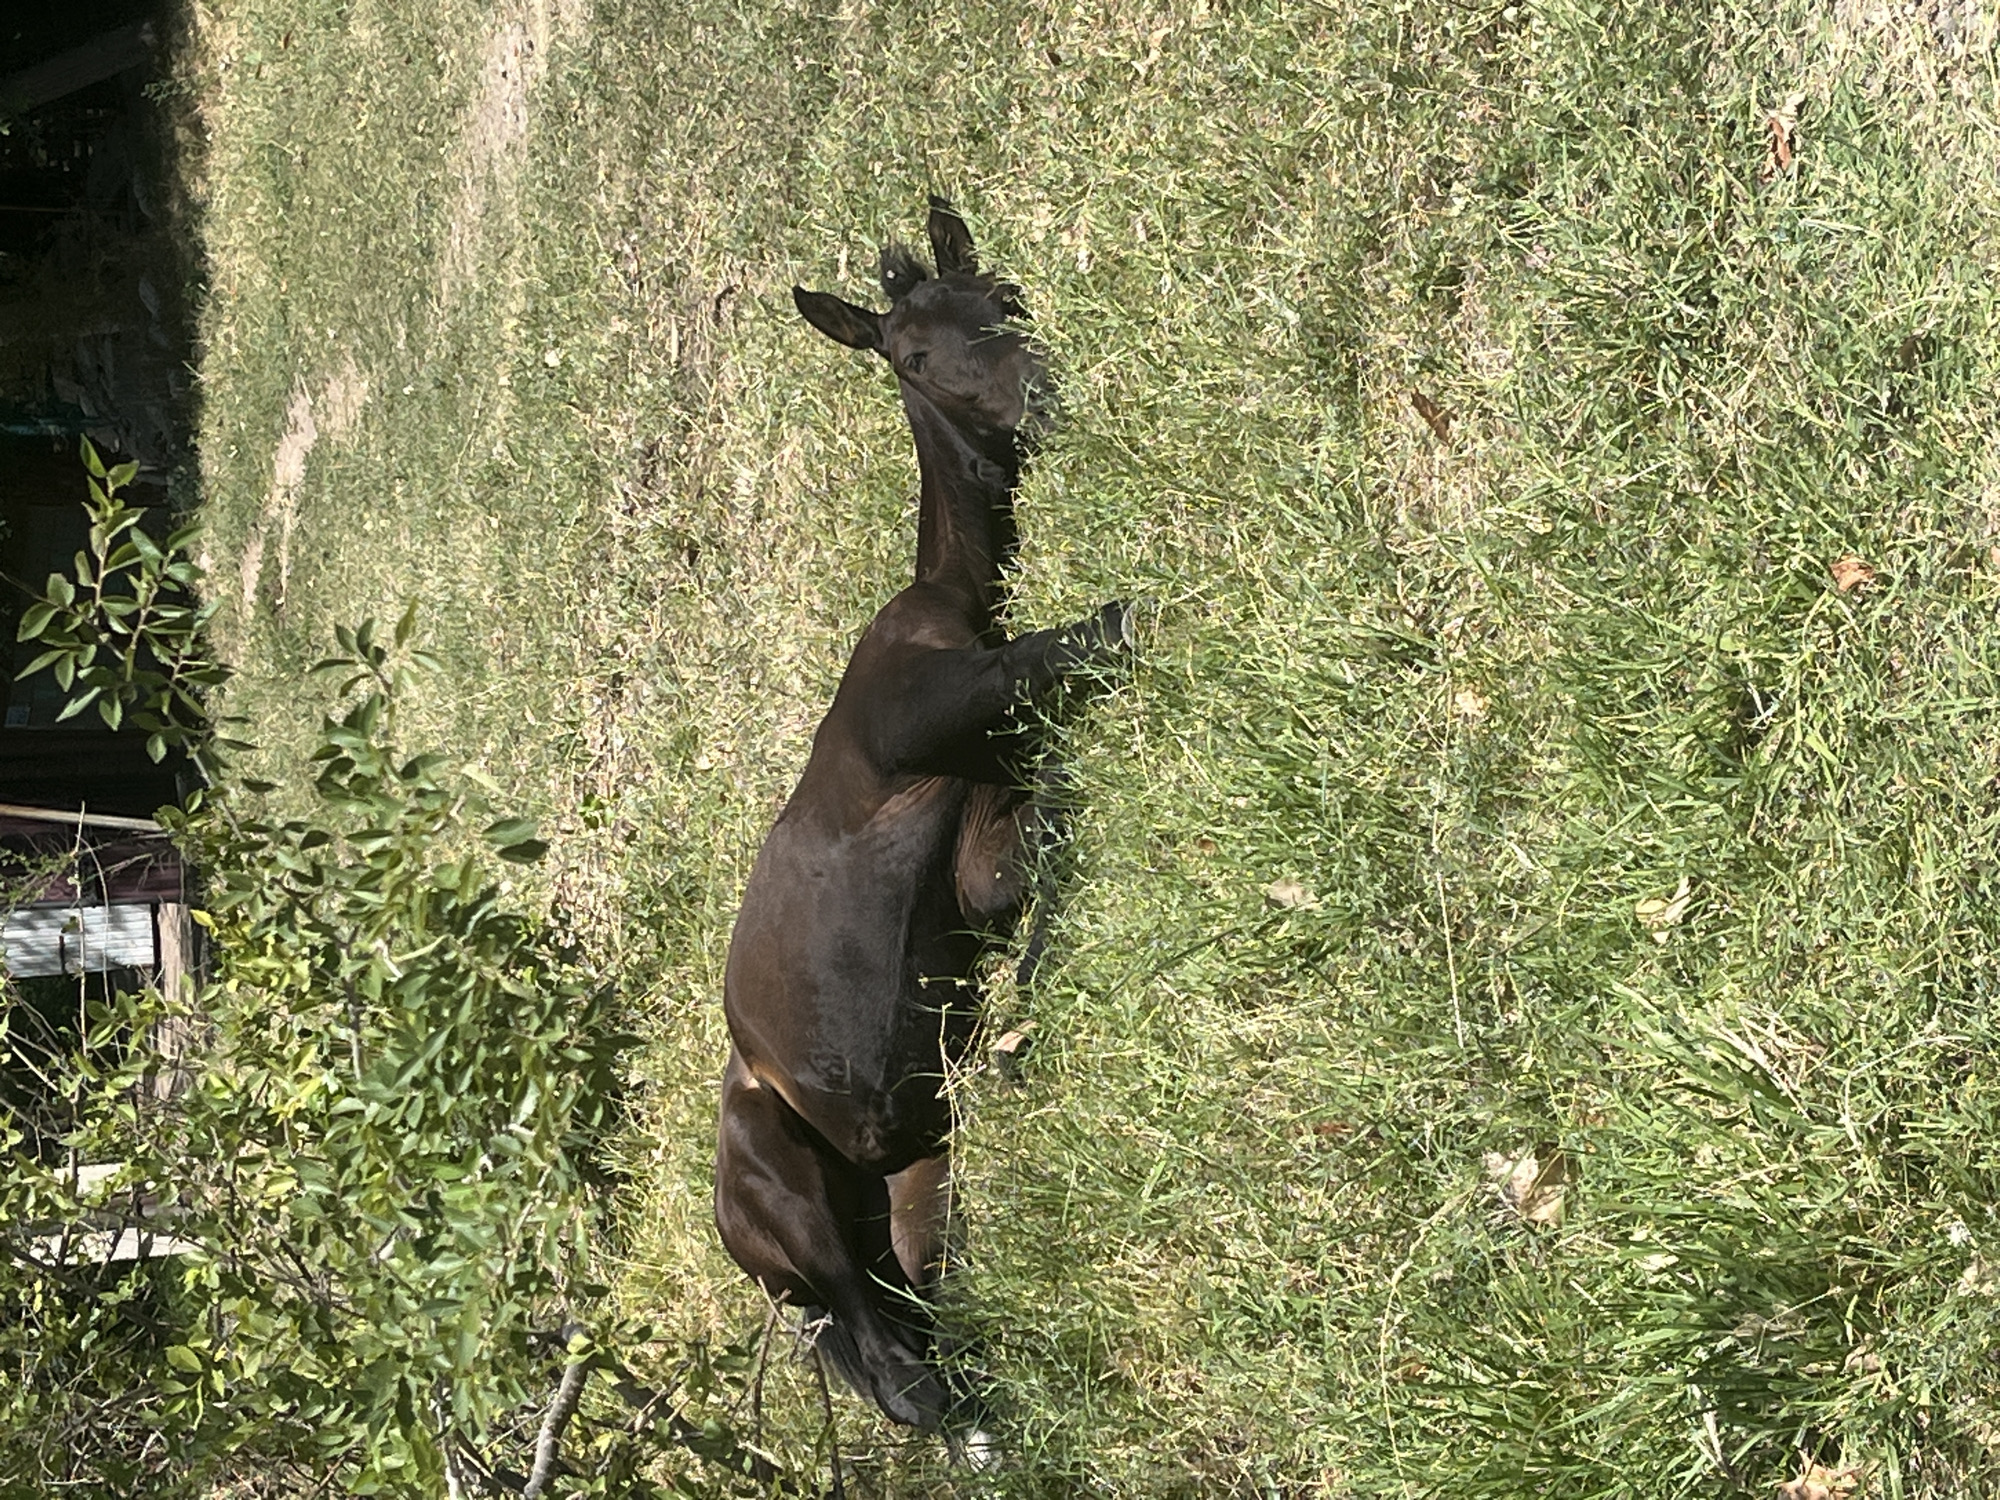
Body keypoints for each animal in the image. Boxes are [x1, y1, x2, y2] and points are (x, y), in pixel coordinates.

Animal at [713, 198, 1128, 1432]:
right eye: (906, 355)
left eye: (1000, 291)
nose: (1039, 393)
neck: (949, 600)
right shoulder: (920, 718)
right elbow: (1089, 635)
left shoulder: (978, 849)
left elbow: (1037, 840)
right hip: (795, 1212)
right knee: (895, 1371)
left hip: (908, 1186)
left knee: (920, 1326)